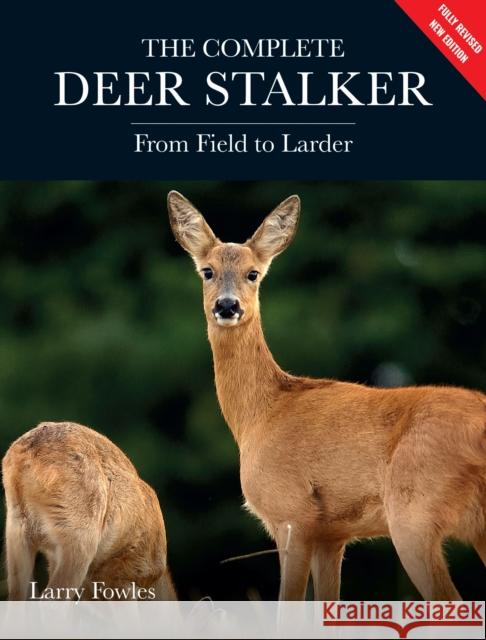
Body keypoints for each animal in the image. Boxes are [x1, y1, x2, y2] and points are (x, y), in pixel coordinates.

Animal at [167, 190, 486, 601]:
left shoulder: (291, 514)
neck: (260, 415)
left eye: (253, 273)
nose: (227, 305)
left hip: (414, 512)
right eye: (207, 271)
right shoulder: (332, 535)